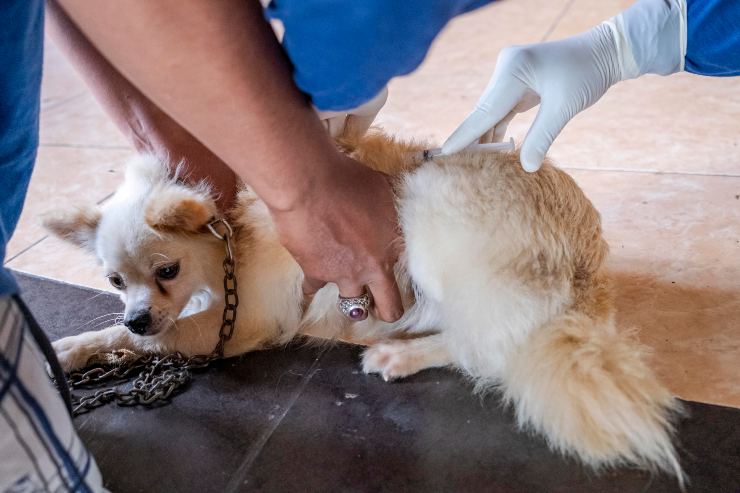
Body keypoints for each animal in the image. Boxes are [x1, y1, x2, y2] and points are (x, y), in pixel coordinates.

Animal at [44, 130, 684, 480]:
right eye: (113, 280)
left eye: (167, 272)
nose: (137, 314)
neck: (229, 242)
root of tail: (586, 271)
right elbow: (123, 338)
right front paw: (78, 348)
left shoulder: (229, 327)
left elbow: (149, 338)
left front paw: (72, 346)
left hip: (431, 225)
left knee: (485, 348)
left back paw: (400, 355)